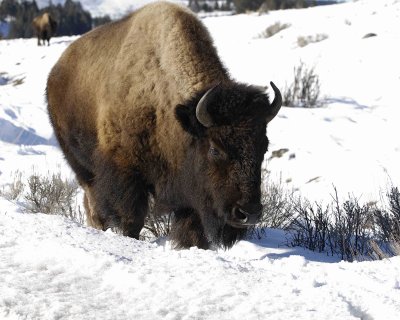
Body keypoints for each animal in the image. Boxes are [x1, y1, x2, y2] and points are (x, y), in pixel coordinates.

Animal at [46, 1, 282, 249]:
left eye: (264, 147)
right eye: (215, 149)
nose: (248, 213)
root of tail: (56, 72)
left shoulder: (190, 191)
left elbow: (192, 226)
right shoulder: (126, 172)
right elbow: (132, 218)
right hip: (82, 166)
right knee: (92, 200)